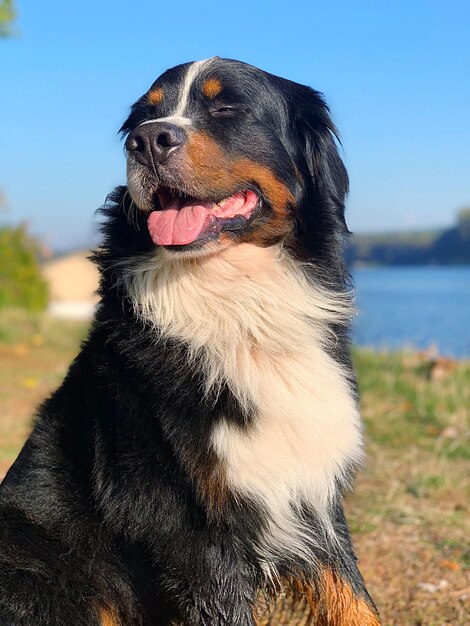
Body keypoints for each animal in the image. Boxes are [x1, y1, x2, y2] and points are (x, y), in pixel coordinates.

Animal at [0, 58, 380, 624]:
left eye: (226, 107)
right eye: (143, 116)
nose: (148, 141)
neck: (239, 305)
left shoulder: (313, 494)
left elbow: (356, 600)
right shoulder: (192, 528)